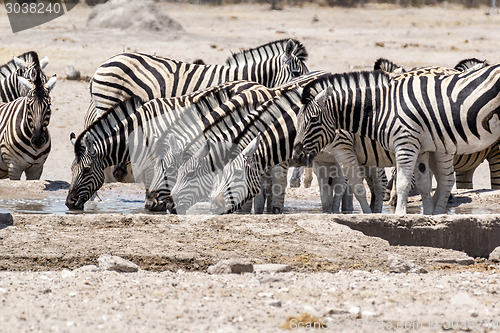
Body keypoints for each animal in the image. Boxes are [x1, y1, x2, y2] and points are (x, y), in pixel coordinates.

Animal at [66, 80, 274, 210]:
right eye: (70, 170)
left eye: (86, 170)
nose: (68, 203)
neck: (139, 133)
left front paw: (156, 205)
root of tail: (259, 85)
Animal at [292, 66, 500, 214]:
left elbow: (367, 184)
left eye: (313, 120)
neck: (381, 107)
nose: (297, 156)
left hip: (445, 145)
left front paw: (390, 214)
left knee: (447, 181)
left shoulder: (347, 148)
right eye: (298, 119)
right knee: (441, 182)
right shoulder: (419, 147)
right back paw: (436, 212)